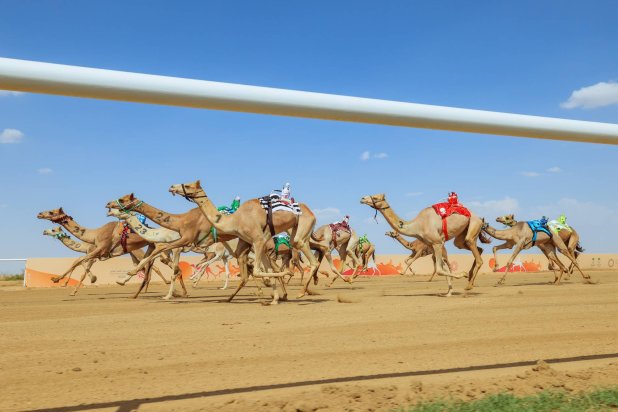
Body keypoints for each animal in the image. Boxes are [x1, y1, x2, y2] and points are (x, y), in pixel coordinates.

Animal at [36, 209, 166, 296]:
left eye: (51, 212)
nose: (39, 214)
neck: (94, 235)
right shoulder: (96, 254)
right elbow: (79, 262)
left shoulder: (97, 251)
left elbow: (79, 263)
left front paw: (59, 281)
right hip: (141, 250)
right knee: (146, 265)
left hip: (144, 249)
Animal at [170, 181, 318, 306]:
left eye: (188, 185)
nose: (172, 187)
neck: (235, 221)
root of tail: (312, 213)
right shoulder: (256, 243)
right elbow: (266, 270)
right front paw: (274, 298)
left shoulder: (258, 240)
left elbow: (258, 271)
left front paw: (283, 277)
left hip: (302, 227)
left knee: (311, 259)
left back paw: (301, 292)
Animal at [358, 194, 488, 296]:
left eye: (375, 197)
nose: (362, 198)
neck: (417, 226)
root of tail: (479, 218)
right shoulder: (432, 244)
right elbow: (442, 268)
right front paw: (449, 292)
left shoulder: (436, 243)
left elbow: (440, 269)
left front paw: (462, 275)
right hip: (461, 236)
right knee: (471, 247)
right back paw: (469, 279)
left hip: (473, 224)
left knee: (475, 253)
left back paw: (469, 285)